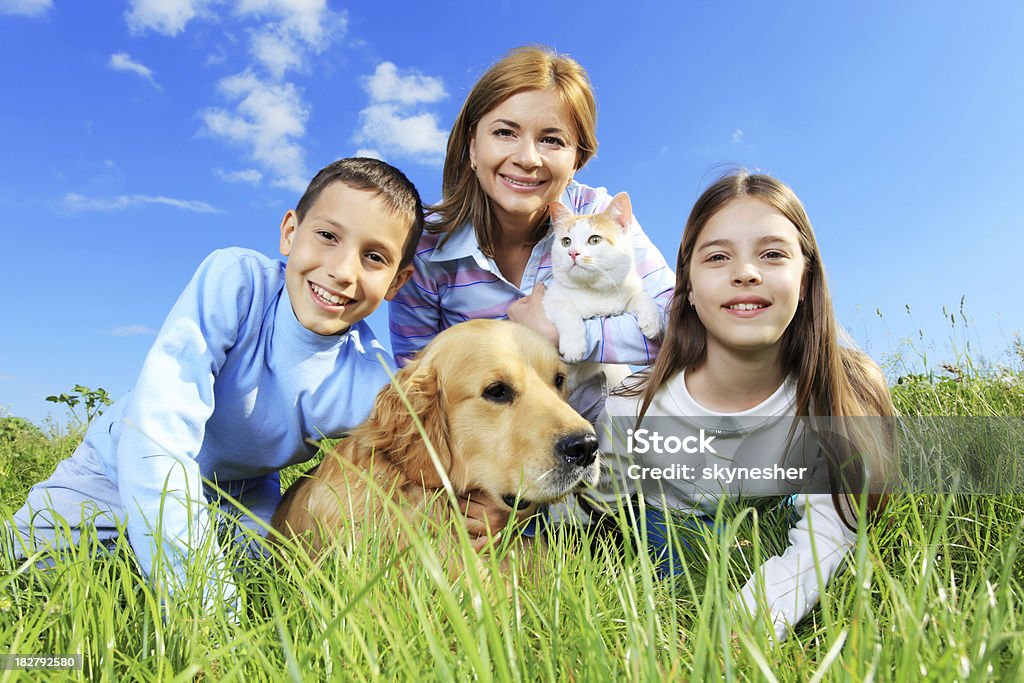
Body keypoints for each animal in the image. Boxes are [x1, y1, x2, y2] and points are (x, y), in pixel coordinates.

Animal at [544, 189, 663, 366]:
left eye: (595, 240)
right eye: (566, 242)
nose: (573, 253)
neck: (595, 290)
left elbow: (642, 296)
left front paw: (652, 322)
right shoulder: (549, 299)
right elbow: (566, 309)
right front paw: (573, 346)